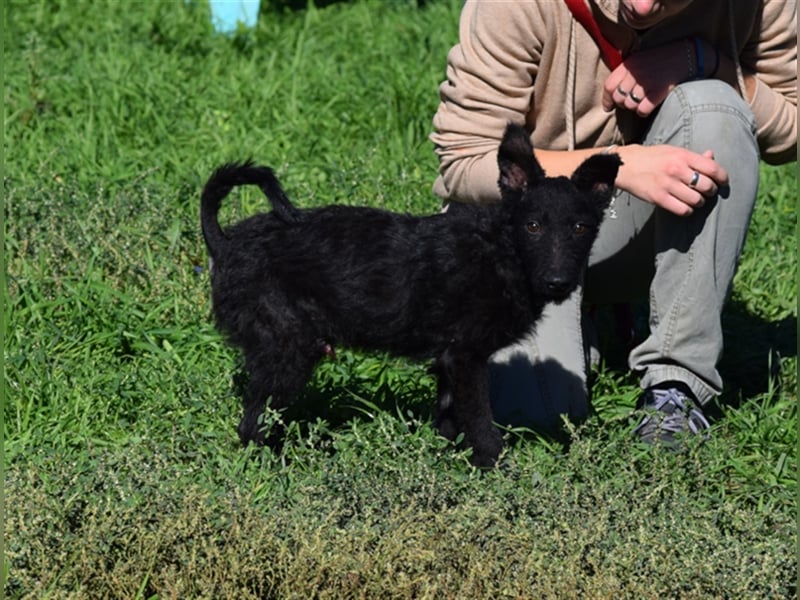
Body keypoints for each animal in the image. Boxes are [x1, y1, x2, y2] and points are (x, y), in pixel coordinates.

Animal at [200, 124, 620, 466]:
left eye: (580, 228)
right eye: (532, 226)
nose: (557, 282)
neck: (502, 251)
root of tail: (224, 244)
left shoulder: (449, 361)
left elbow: (450, 420)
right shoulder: (465, 358)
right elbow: (482, 425)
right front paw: (495, 469)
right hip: (288, 349)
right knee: (251, 424)